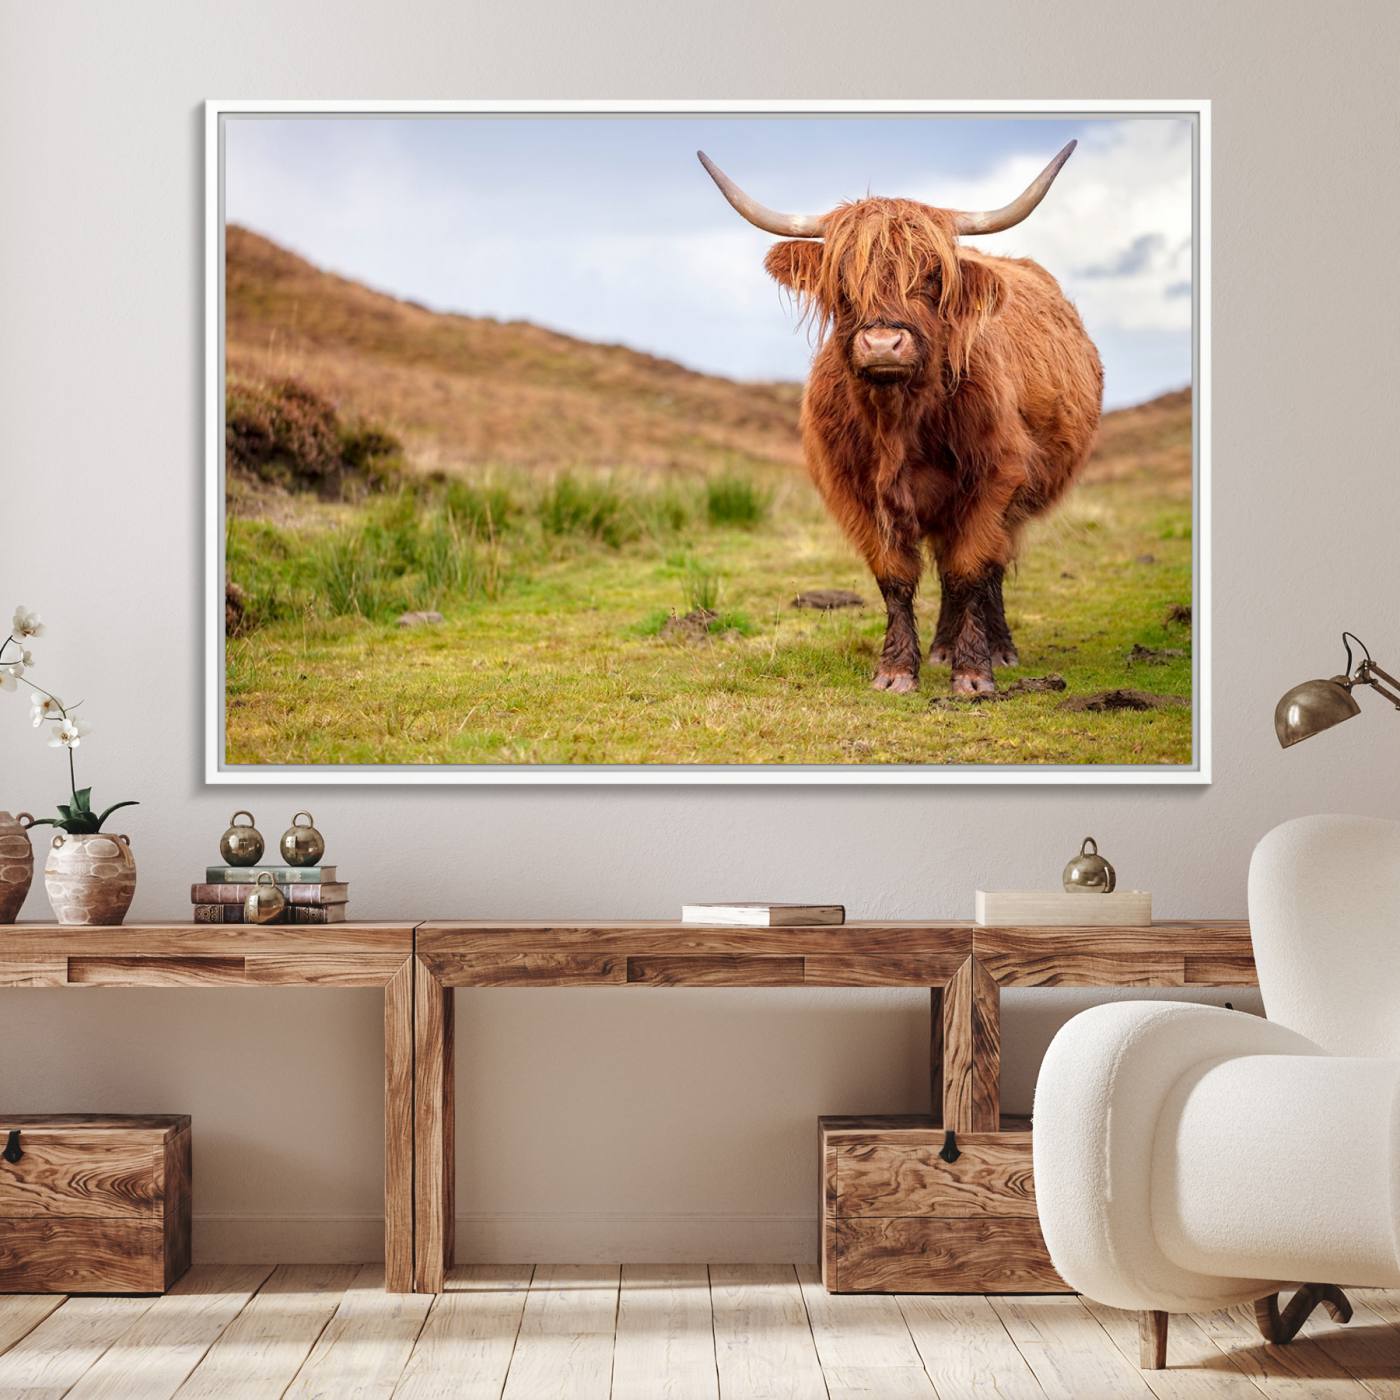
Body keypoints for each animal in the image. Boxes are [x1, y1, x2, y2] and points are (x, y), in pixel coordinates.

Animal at [699, 143, 1103, 696]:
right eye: (842, 279)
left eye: (932, 276)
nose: (883, 343)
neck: (899, 421)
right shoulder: (856, 491)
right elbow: (895, 576)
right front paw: (895, 671)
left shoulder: (995, 479)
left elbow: (970, 569)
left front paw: (973, 674)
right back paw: (940, 648)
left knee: (988, 569)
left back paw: (997, 649)